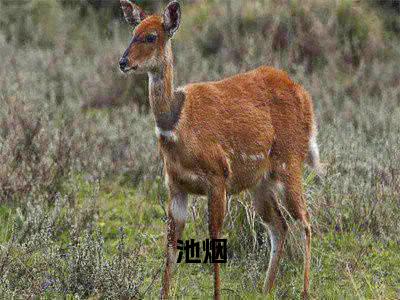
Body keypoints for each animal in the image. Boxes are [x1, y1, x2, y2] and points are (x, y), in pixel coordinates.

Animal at [118, 1, 322, 298]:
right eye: (133, 32)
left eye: (151, 36)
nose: (123, 62)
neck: (178, 126)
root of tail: (305, 98)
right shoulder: (175, 185)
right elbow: (170, 244)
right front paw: (164, 293)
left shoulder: (218, 178)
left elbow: (214, 237)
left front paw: (216, 293)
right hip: (260, 182)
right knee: (280, 225)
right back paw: (265, 289)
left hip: (289, 164)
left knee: (305, 221)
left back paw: (304, 290)